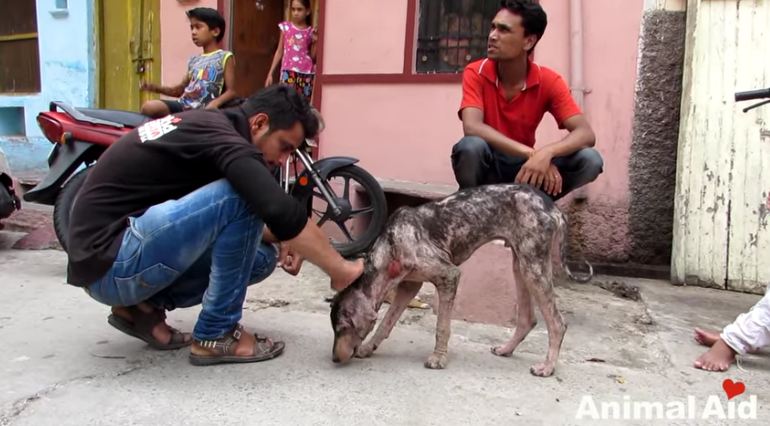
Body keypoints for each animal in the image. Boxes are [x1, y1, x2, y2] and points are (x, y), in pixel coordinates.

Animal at [328, 183, 588, 376]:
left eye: (341, 328)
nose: (334, 359)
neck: (390, 247)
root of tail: (553, 207)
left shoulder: (449, 277)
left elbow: (442, 326)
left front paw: (438, 358)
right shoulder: (409, 286)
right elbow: (386, 323)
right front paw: (368, 347)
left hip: (533, 265)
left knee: (557, 323)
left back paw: (548, 367)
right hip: (521, 264)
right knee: (527, 319)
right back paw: (506, 349)